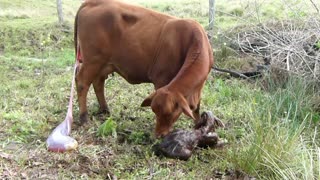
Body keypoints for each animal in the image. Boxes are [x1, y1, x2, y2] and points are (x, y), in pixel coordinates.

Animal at [74, 0, 214, 136]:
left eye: (170, 113)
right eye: (155, 112)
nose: (159, 135)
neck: (192, 41)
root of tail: (92, 2)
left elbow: (196, 108)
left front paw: (198, 127)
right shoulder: (161, 79)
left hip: (104, 64)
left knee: (98, 82)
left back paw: (105, 110)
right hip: (92, 61)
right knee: (82, 82)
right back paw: (84, 117)